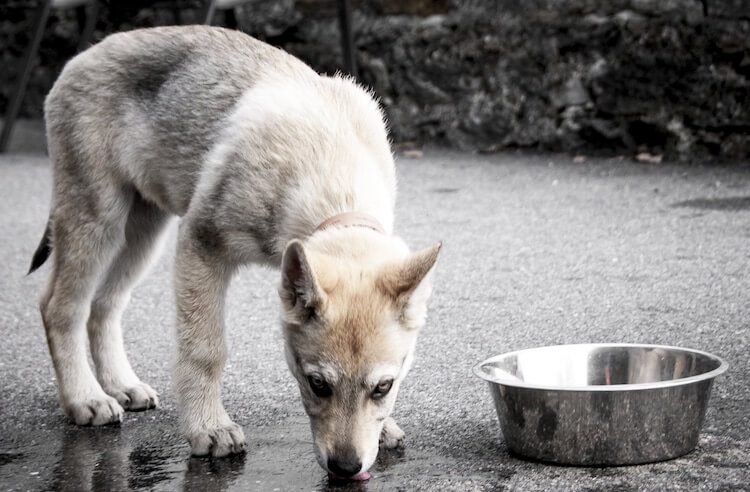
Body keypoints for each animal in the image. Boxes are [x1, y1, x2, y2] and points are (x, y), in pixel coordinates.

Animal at [29, 26, 440, 476]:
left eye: (383, 386)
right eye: (317, 384)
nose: (347, 469)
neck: (329, 168)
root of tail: (83, 55)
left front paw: (383, 431)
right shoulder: (201, 243)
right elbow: (205, 350)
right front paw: (209, 428)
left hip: (141, 233)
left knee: (105, 305)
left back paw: (121, 385)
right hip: (97, 220)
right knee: (60, 306)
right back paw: (85, 397)